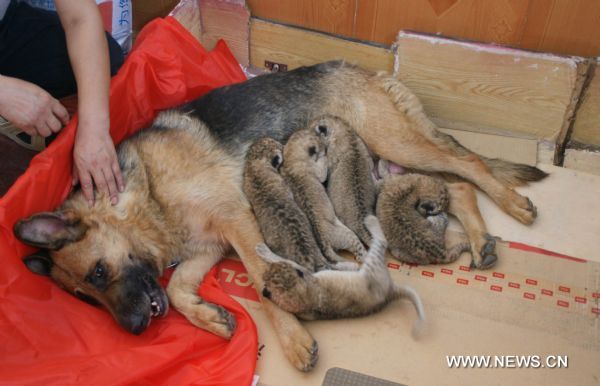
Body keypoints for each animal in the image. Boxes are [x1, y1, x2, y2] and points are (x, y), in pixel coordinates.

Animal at [15, 61, 548, 372]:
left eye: (97, 274)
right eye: (85, 299)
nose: (135, 330)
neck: (145, 196)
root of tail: (361, 66)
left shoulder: (237, 221)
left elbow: (259, 277)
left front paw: (292, 338)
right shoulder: (207, 246)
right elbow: (177, 289)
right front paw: (212, 318)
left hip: (393, 140)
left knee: (470, 165)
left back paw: (514, 205)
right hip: (389, 163)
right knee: (456, 187)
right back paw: (480, 241)